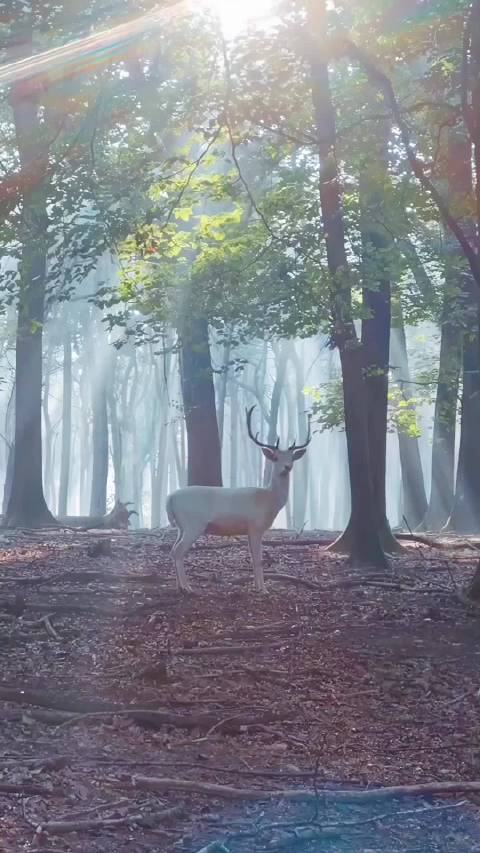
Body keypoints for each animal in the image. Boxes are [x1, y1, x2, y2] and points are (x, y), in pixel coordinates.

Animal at [166, 405, 311, 593]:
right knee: (178, 551)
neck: (269, 501)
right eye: (276, 457)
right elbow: (258, 559)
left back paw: (179, 586)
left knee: (172, 549)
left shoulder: (249, 530)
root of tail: (170, 497)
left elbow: (253, 557)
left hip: (181, 526)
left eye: (291, 457)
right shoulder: (255, 526)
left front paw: (257, 586)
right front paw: (263, 589)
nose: (287, 467)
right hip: (193, 524)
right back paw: (187, 587)